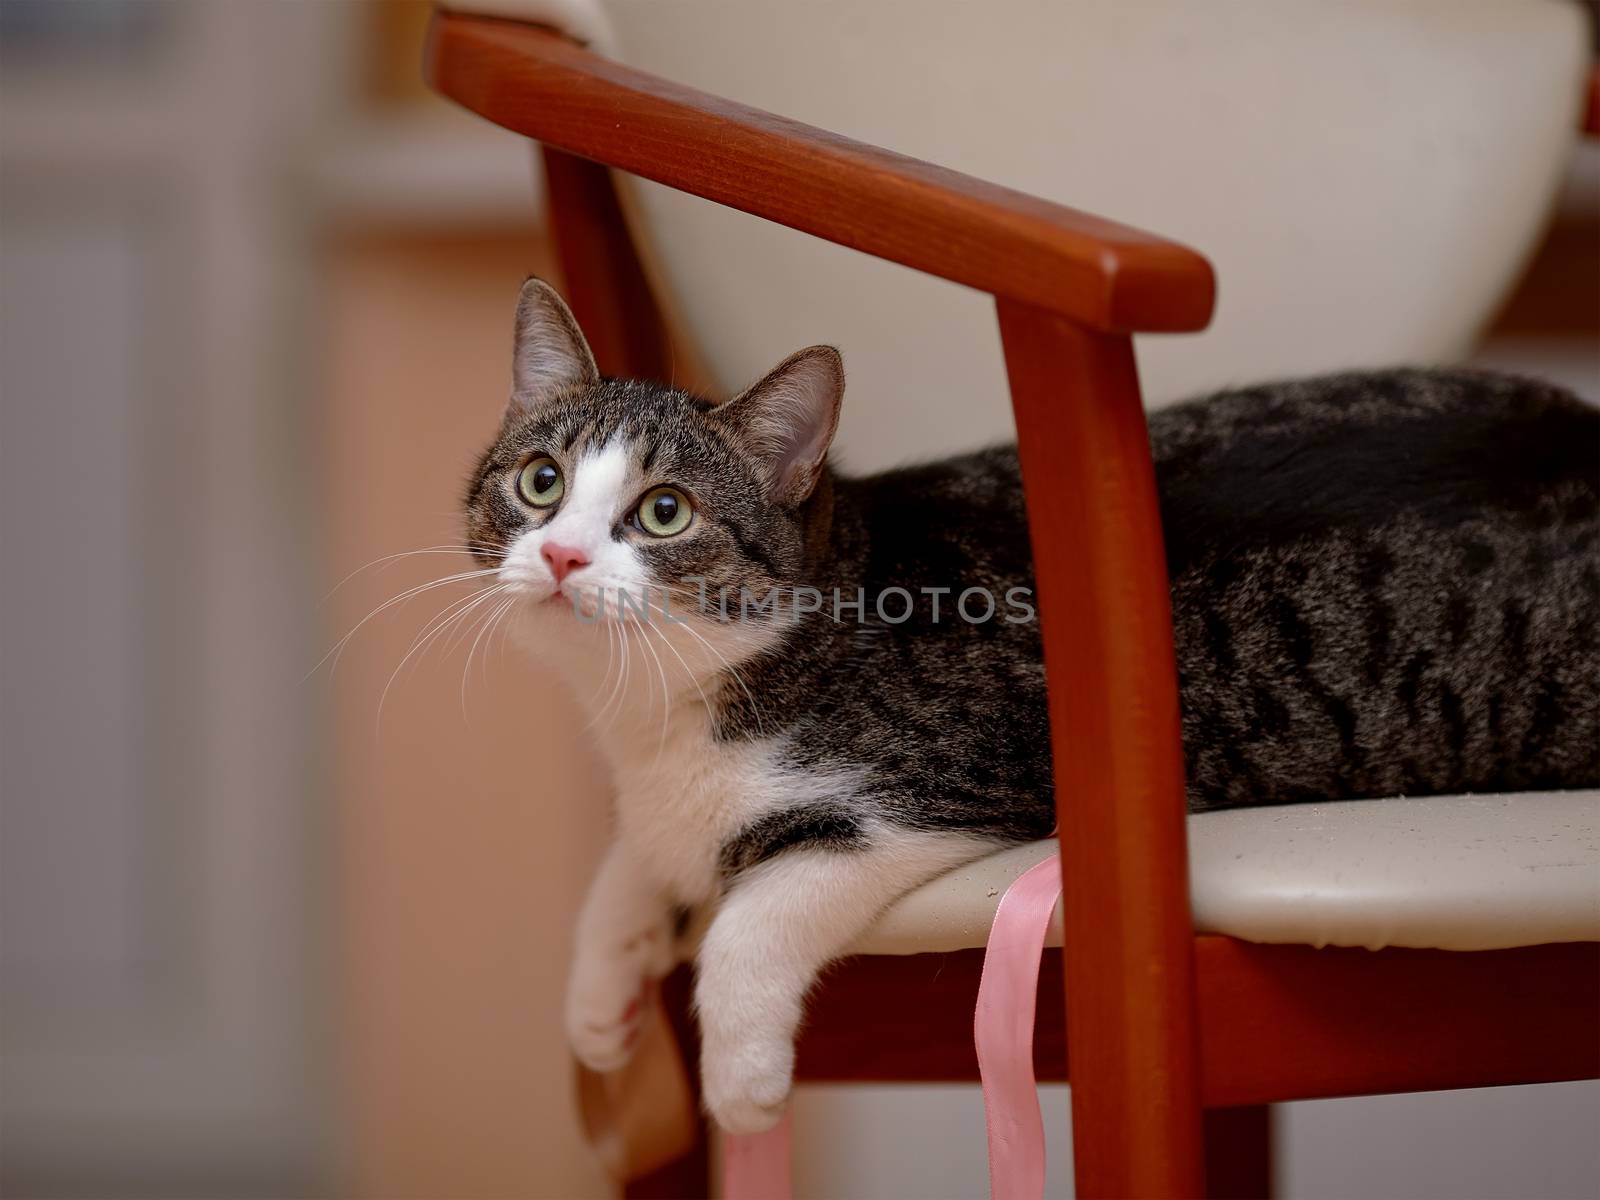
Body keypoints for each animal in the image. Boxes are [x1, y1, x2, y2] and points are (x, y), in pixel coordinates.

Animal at [457, 281, 1593, 1139]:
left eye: (664, 511)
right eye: (539, 481)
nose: (561, 556)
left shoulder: (953, 780)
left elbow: (766, 900)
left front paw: (740, 1080)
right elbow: (648, 846)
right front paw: (601, 989)